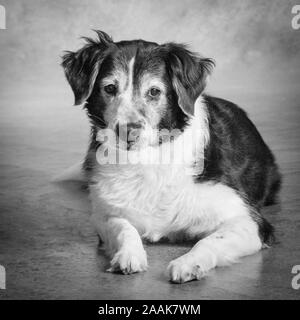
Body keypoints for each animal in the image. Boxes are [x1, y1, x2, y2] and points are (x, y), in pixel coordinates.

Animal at [61, 30, 282, 282]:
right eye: (109, 88)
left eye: (154, 91)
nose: (128, 131)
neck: (148, 158)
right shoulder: (105, 214)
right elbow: (124, 228)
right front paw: (129, 254)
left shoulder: (247, 220)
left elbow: (209, 241)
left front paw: (189, 263)